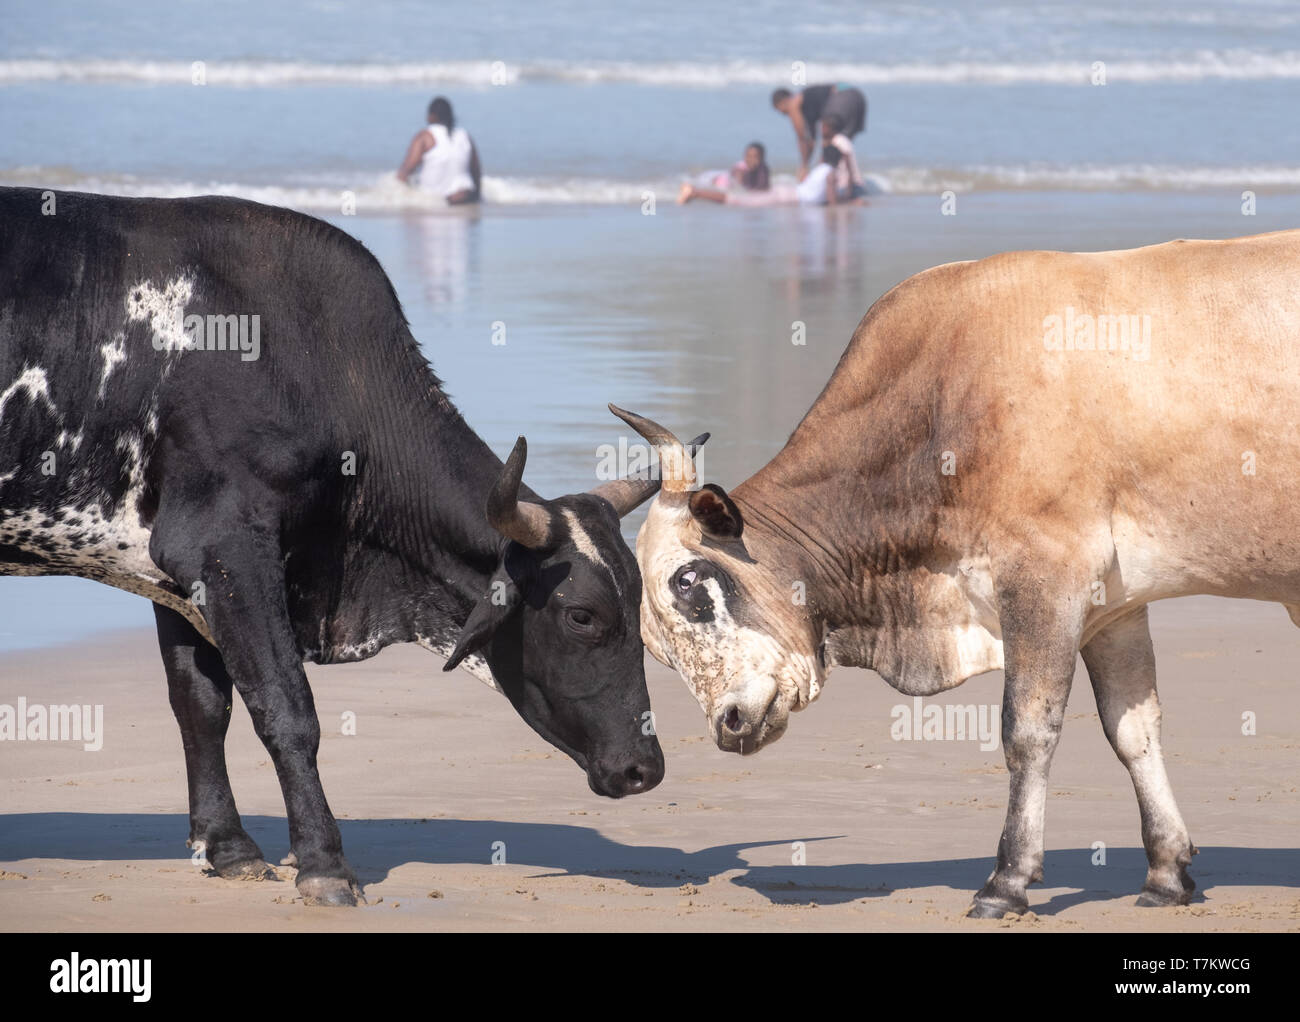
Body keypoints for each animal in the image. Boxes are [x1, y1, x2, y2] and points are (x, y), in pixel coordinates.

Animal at [0, 186, 704, 906]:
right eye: (581, 616)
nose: (645, 769)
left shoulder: (172, 574)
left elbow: (201, 706)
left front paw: (227, 848)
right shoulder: (224, 548)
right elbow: (286, 706)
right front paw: (324, 862)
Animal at [612, 229, 1300, 918]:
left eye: (688, 583)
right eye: (653, 645)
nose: (727, 723)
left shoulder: (1046, 578)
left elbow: (1027, 731)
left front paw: (1007, 881)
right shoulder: (1116, 604)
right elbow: (1133, 728)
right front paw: (1166, 871)